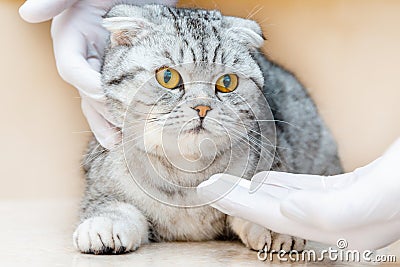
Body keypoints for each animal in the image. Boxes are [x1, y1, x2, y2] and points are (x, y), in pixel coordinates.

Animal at [73, 4, 342, 255]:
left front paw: (275, 227)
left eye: (227, 82)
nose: (202, 107)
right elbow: (112, 206)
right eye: (168, 76)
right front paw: (105, 225)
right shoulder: (102, 187)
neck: (186, 177)